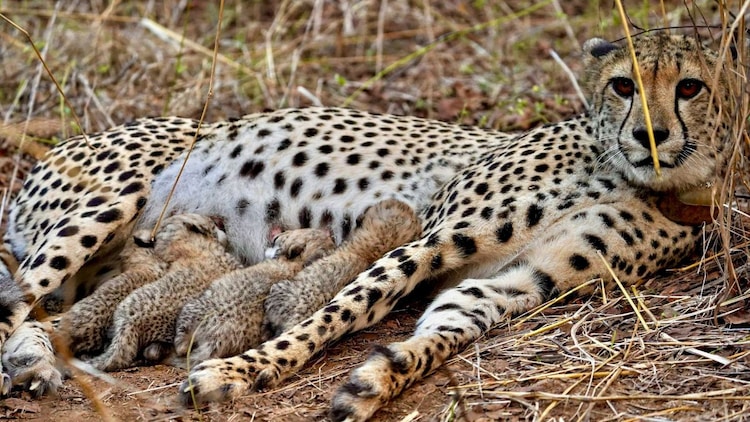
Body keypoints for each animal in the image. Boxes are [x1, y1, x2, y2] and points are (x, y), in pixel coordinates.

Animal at [0, 33, 731, 421]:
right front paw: (245, 370)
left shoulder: (516, 281)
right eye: (622, 85)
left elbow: (438, 332)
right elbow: (341, 308)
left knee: (46, 313)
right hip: (106, 203)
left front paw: (375, 381)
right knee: (16, 299)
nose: (651, 136)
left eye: (689, 86)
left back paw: (38, 360)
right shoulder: (431, 235)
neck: (647, 180)